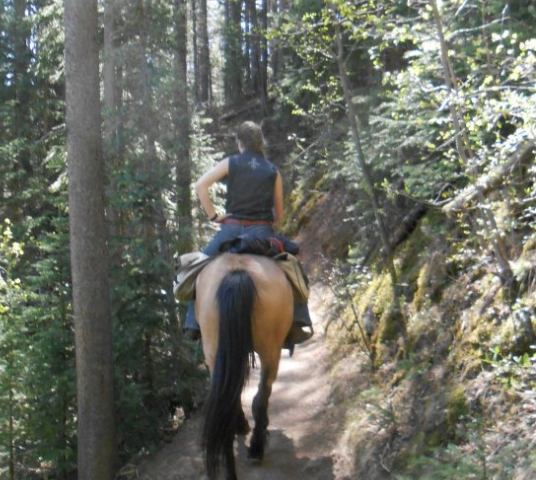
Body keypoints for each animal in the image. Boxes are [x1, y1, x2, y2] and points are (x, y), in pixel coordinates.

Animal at [195, 253, 294, 478]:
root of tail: (237, 273)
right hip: (271, 349)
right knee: (262, 393)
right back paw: (256, 446)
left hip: (214, 352)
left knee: (226, 406)